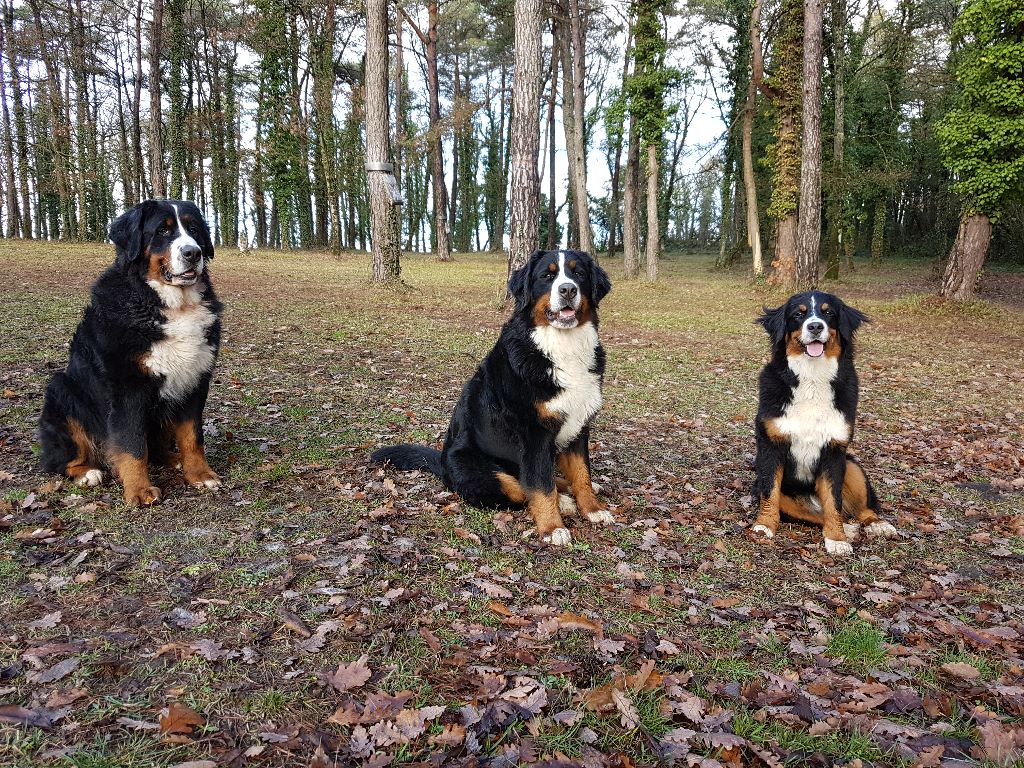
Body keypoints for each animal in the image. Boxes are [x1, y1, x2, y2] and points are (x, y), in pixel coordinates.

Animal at [41, 201, 224, 507]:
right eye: (163, 231)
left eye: (195, 230)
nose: (193, 252)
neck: (168, 304)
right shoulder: (128, 388)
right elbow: (132, 444)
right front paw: (139, 490)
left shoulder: (194, 380)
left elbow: (192, 437)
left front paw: (200, 475)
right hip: (62, 390)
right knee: (58, 460)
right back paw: (87, 472)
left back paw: (172, 459)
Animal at [376, 250, 614, 548]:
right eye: (547, 276)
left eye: (578, 273)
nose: (568, 290)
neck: (562, 348)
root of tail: (441, 462)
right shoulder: (534, 433)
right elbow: (540, 485)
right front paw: (552, 527)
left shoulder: (579, 426)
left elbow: (582, 474)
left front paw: (593, 509)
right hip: (488, 475)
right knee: (522, 487)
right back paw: (563, 501)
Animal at [753, 290, 897, 557]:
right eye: (798, 314)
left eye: (828, 312)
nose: (815, 326)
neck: (812, 380)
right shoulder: (771, 446)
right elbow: (770, 493)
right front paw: (763, 526)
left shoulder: (834, 451)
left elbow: (834, 500)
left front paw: (836, 538)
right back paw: (850, 528)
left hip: (853, 467)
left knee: (861, 509)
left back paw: (876, 524)